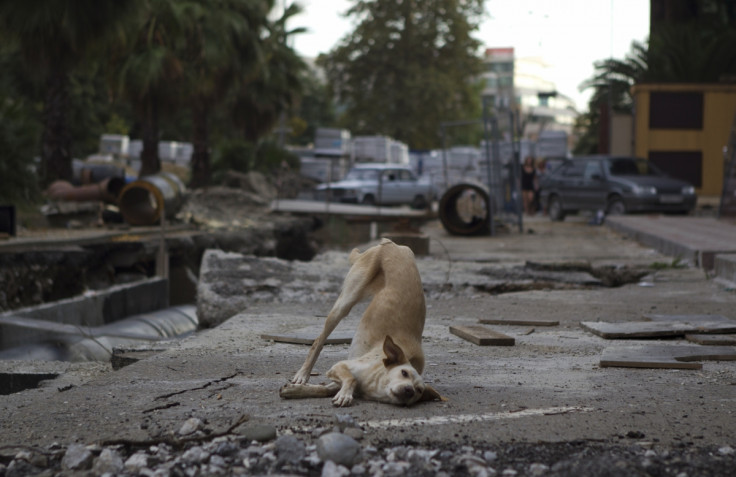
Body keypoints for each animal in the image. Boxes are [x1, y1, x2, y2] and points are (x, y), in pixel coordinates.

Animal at [280, 238, 442, 406]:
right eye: (404, 373)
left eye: (419, 390)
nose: (409, 390)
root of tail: (392, 244)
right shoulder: (341, 366)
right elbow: (351, 379)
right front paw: (344, 395)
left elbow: (323, 389)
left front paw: (294, 391)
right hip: (345, 302)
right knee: (318, 340)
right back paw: (303, 374)